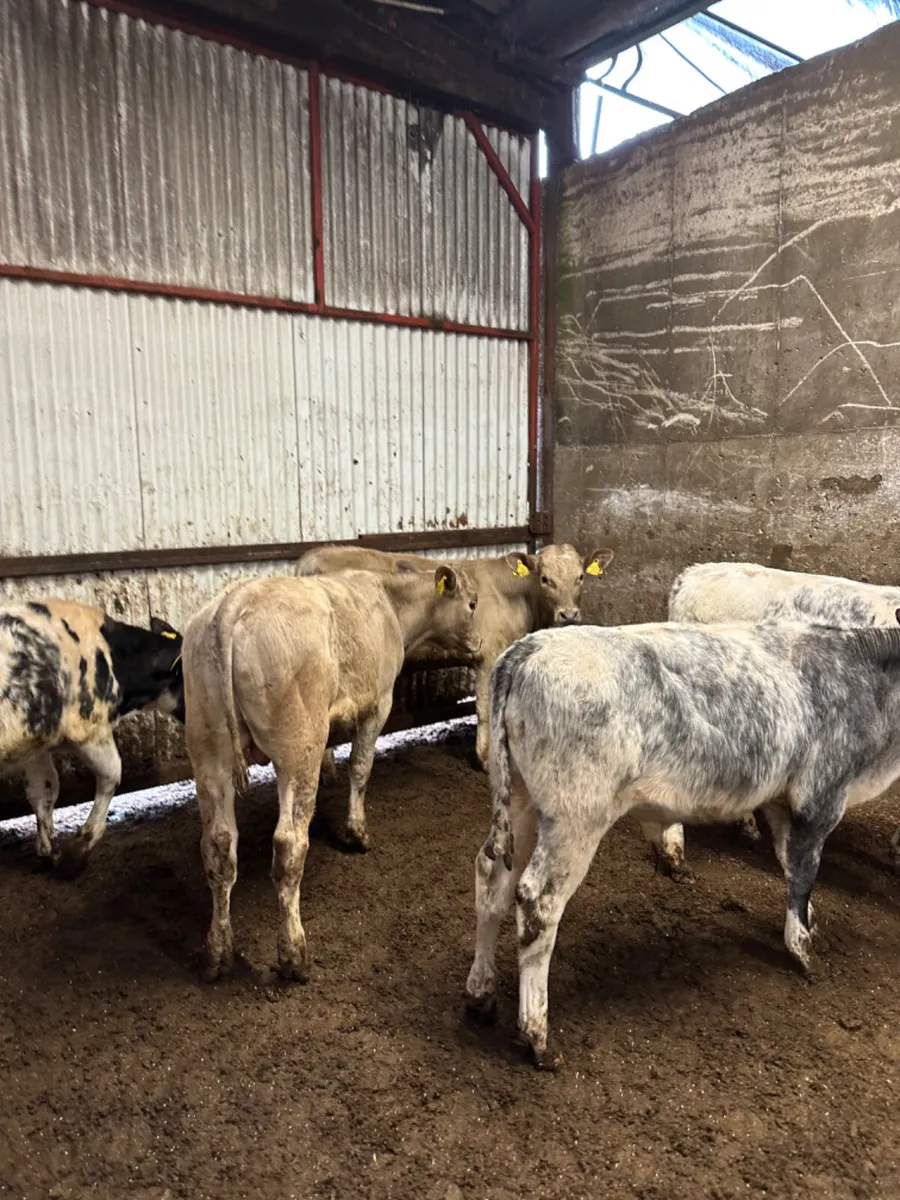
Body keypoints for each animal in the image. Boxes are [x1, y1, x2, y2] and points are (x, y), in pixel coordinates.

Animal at [0, 600, 184, 871]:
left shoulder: (36, 741)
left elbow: (44, 788)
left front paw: (48, 849)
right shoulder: (89, 729)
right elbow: (112, 774)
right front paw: (83, 843)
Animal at [183, 564, 481, 984]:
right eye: (472, 603)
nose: (478, 641)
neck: (390, 601)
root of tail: (233, 602)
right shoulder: (378, 703)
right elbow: (361, 767)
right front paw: (356, 833)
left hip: (209, 751)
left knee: (219, 847)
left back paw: (217, 953)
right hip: (297, 747)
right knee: (289, 845)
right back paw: (293, 955)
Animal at [297, 542, 614, 771]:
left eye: (580, 577)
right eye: (546, 579)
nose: (569, 614)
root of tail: (311, 557)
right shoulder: (489, 658)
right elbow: (485, 709)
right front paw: (485, 760)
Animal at [465, 619, 900, 1068]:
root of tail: (529, 647)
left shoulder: (782, 803)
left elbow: (789, 862)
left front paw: (808, 922)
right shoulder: (821, 798)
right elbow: (804, 873)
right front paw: (802, 950)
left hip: (518, 800)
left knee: (492, 878)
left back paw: (481, 993)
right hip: (575, 819)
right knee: (538, 901)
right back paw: (536, 1034)